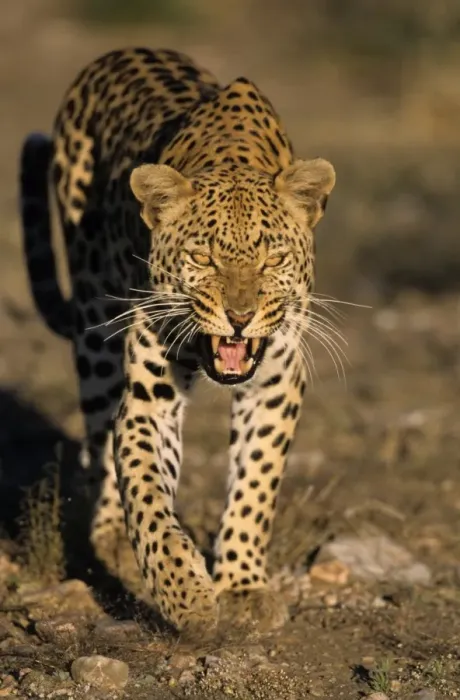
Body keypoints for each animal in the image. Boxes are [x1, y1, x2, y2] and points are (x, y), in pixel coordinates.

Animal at [20, 47, 335, 636]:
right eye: (203, 257)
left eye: (273, 259)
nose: (240, 316)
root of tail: (118, 52)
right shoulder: (150, 398)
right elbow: (144, 487)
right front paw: (184, 593)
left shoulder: (276, 379)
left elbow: (257, 480)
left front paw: (241, 586)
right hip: (96, 327)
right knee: (101, 440)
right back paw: (112, 539)